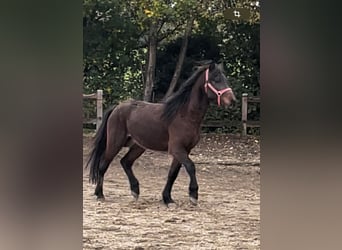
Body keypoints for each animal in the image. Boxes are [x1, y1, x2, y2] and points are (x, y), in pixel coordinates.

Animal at [86, 60, 235, 205]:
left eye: (225, 79)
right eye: (216, 79)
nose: (232, 100)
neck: (185, 115)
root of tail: (117, 107)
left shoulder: (184, 150)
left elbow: (172, 174)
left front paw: (167, 198)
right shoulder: (177, 149)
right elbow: (191, 167)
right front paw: (193, 195)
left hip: (138, 146)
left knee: (125, 162)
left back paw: (135, 191)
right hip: (115, 143)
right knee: (103, 165)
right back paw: (100, 194)